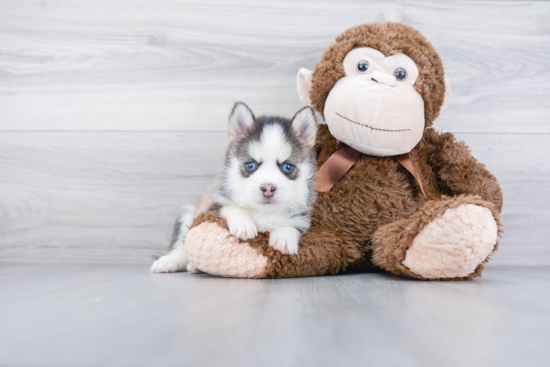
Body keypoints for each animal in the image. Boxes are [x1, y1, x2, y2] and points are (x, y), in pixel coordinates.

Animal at [151, 100, 320, 274]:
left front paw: (283, 239)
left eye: (287, 167)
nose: (267, 188)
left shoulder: (300, 218)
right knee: (181, 247)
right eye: (250, 165)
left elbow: (290, 225)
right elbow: (230, 207)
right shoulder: (213, 206)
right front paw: (243, 224)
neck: (262, 212)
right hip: (188, 214)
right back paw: (169, 261)